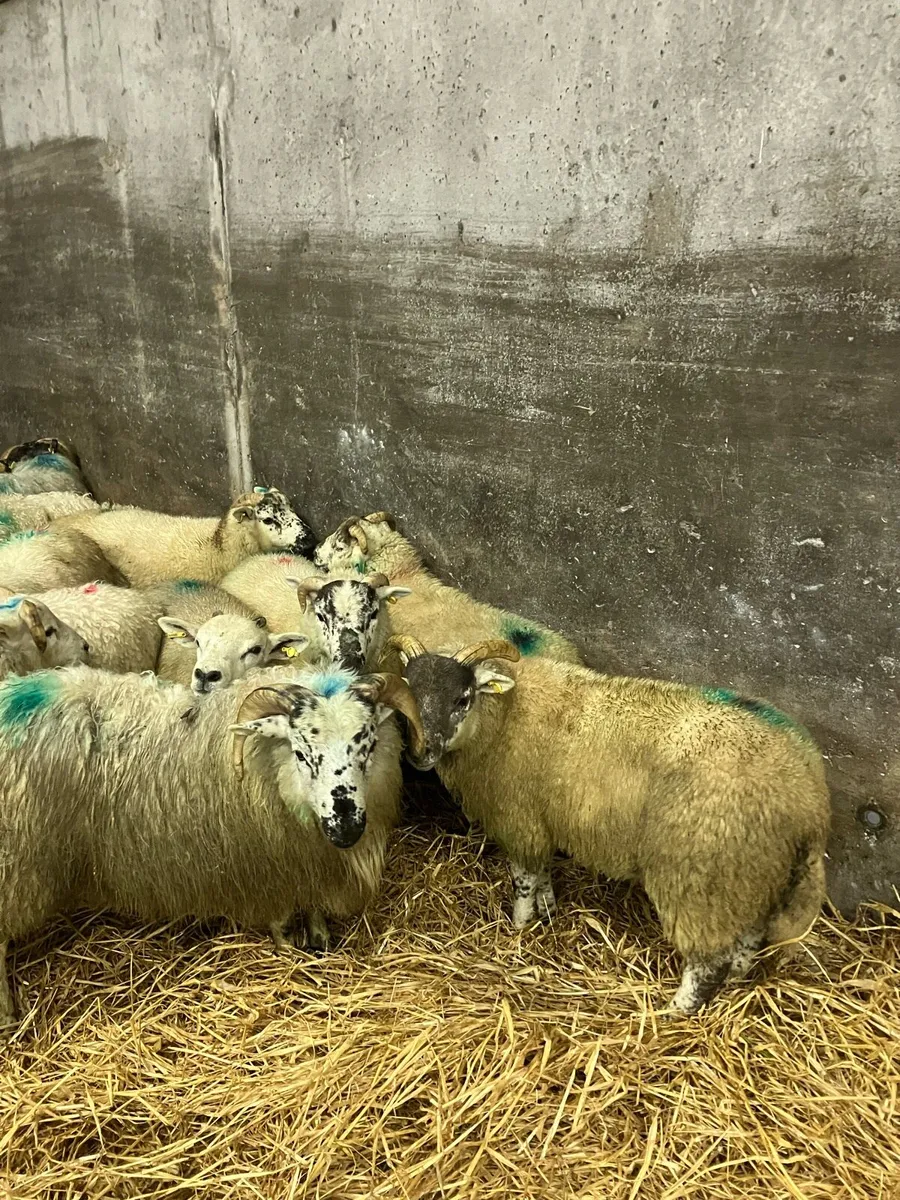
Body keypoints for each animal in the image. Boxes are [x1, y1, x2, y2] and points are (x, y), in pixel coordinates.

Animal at [0, 662, 425, 1030]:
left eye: (367, 745)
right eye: (302, 752)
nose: (346, 827)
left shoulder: (303, 859)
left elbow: (314, 908)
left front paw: (321, 942)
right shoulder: (265, 865)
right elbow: (281, 919)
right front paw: (289, 949)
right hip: (14, 866)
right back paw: (7, 1015)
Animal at [386, 634, 831, 1015]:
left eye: (462, 698)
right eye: (408, 695)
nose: (419, 754)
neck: (503, 716)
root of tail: (809, 798)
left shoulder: (521, 822)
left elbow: (524, 881)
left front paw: (518, 929)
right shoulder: (542, 822)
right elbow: (543, 876)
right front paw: (549, 913)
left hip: (700, 876)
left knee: (707, 964)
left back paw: (676, 1013)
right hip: (752, 875)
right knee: (748, 940)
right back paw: (736, 984)